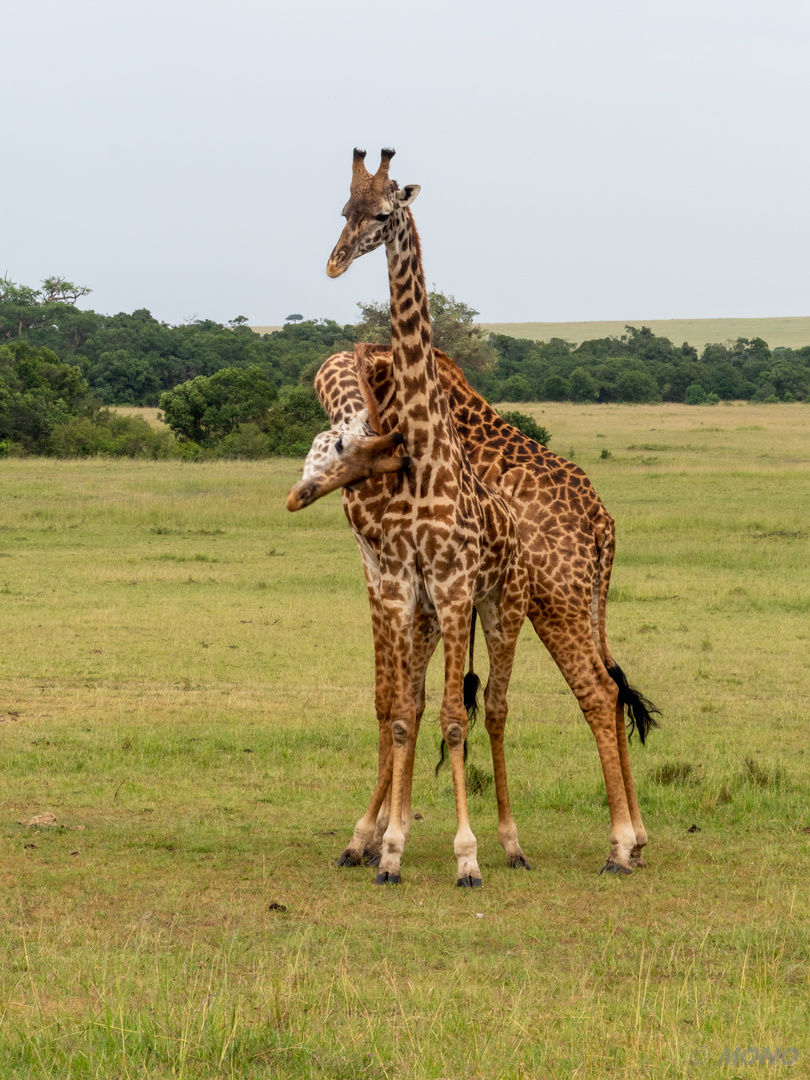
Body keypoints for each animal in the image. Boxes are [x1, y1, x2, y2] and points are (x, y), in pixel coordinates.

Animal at [287, 341, 660, 872]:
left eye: (343, 451)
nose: (301, 495)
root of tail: (601, 521)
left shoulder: (383, 570)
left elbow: (390, 699)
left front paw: (367, 838)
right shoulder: (414, 583)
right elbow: (410, 699)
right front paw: (387, 835)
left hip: (554, 598)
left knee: (597, 691)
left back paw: (619, 845)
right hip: (586, 601)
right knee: (612, 682)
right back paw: (638, 839)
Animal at [319, 152, 535, 889]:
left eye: (385, 212)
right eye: (344, 209)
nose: (334, 264)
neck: (428, 458)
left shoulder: (454, 585)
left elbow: (451, 719)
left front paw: (466, 855)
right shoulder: (405, 589)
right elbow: (405, 714)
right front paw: (389, 847)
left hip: (501, 604)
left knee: (493, 709)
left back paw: (511, 843)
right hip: (435, 618)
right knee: (420, 704)